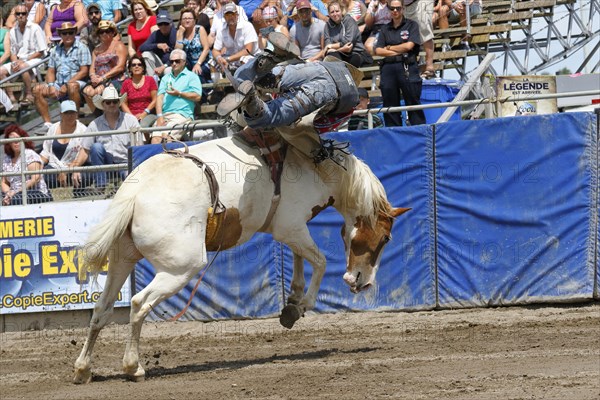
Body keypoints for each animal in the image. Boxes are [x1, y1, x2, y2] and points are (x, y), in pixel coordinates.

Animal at [71, 135, 408, 384]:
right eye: (386, 238)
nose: (362, 282)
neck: (317, 166)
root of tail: (136, 191)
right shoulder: (290, 226)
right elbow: (320, 261)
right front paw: (301, 306)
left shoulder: (290, 229)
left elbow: (300, 258)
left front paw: (292, 302)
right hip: (181, 268)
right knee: (139, 304)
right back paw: (133, 367)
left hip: (123, 259)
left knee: (102, 309)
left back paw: (83, 369)